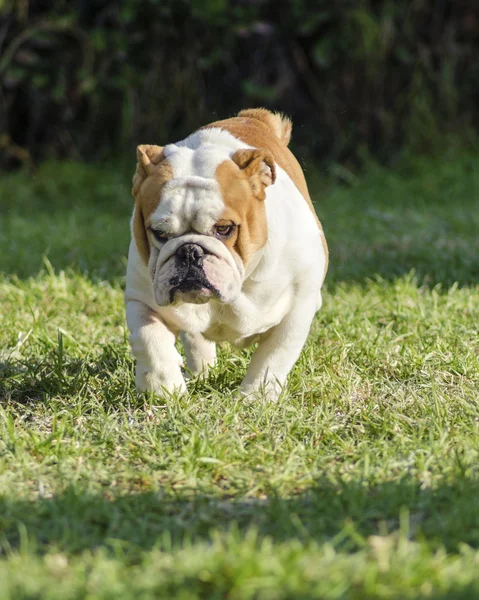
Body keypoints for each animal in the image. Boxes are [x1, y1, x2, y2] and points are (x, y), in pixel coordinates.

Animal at [124, 108, 328, 398]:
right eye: (159, 233)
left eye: (224, 229)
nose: (190, 251)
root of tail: (252, 116)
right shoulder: (141, 299)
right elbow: (150, 340)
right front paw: (164, 388)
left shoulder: (296, 309)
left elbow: (273, 357)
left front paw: (256, 397)